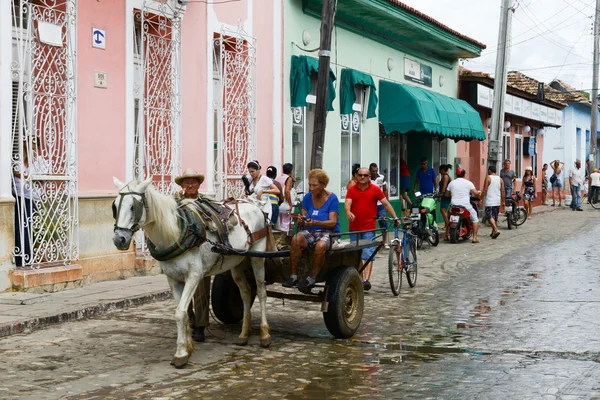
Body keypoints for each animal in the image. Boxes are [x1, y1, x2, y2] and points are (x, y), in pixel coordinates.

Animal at [111, 178, 270, 368]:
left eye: (133, 207)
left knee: (261, 291)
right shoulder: (173, 279)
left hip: (257, 256)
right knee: (245, 293)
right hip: (237, 261)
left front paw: (180, 353)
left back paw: (265, 335)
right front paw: (186, 347)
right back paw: (244, 334)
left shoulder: (194, 276)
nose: (119, 239)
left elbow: (180, 312)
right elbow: (183, 312)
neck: (177, 234)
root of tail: (253, 204)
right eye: (114, 206)